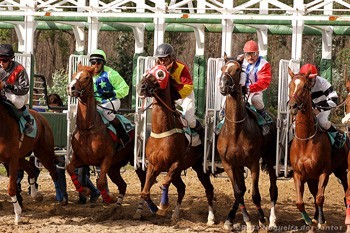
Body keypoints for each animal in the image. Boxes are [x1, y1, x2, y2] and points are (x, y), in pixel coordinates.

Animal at [0, 95, 64, 223]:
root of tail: (42, 118)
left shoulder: (12, 159)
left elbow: (11, 188)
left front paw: (18, 215)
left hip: (44, 153)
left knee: (53, 172)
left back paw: (61, 199)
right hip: (21, 157)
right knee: (31, 168)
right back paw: (36, 195)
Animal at [66, 63, 146, 218]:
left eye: (86, 77)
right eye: (73, 75)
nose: (71, 88)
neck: (87, 129)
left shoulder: (106, 158)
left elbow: (101, 182)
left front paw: (108, 198)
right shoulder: (81, 158)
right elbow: (70, 168)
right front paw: (85, 191)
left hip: (135, 162)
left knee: (144, 184)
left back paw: (140, 211)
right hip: (114, 167)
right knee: (122, 185)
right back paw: (116, 208)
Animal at [137, 64, 216, 225]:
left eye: (160, 74)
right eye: (148, 71)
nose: (141, 87)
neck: (162, 131)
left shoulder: (175, 164)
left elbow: (164, 182)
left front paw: (162, 206)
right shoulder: (153, 165)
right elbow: (145, 191)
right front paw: (154, 208)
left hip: (200, 167)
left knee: (209, 189)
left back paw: (211, 218)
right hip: (181, 171)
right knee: (182, 188)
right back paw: (175, 214)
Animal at [217, 55, 278, 232]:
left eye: (238, 69)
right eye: (222, 68)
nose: (223, 85)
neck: (235, 131)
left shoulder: (253, 163)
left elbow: (255, 195)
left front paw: (261, 219)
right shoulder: (229, 164)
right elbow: (238, 192)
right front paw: (245, 220)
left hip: (270, 158)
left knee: (273, 190)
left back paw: (272, 221)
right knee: (242, 190)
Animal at [288, 68, 350, 231]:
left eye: (305, 86)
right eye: (290, 85)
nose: (293, 106)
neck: (306, 141)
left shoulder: (324, 172)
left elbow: (320, 198)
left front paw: (321, 221)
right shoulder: (299, 174)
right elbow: (300, 202)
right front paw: (309, 221)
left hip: (342, 171)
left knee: (345, 193)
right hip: (312, 177)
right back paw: (315, 217)